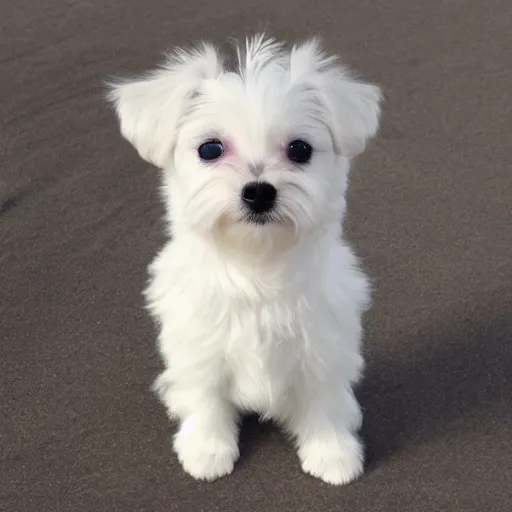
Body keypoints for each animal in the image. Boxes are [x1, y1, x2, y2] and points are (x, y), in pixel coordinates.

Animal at [109, 35, 380, 484]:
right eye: (210, 149)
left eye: (300, 149)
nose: (258, 191)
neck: (255, 264)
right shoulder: (199, 344)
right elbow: (207, 397)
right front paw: (207, 449)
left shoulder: (323, 344)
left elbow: (322, 400)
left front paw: (332, 452)